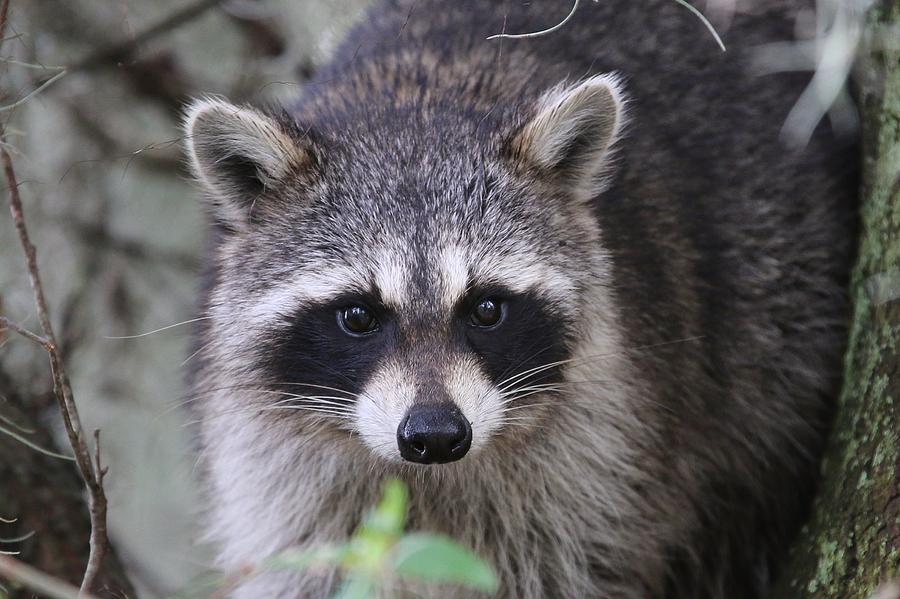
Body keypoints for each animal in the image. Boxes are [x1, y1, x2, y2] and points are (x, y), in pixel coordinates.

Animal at [181, 2, 856, 596]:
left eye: (486, 308)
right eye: (357, 315)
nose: (435, 435)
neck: (414, 103)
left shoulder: (606, 448)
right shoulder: (279, 468)